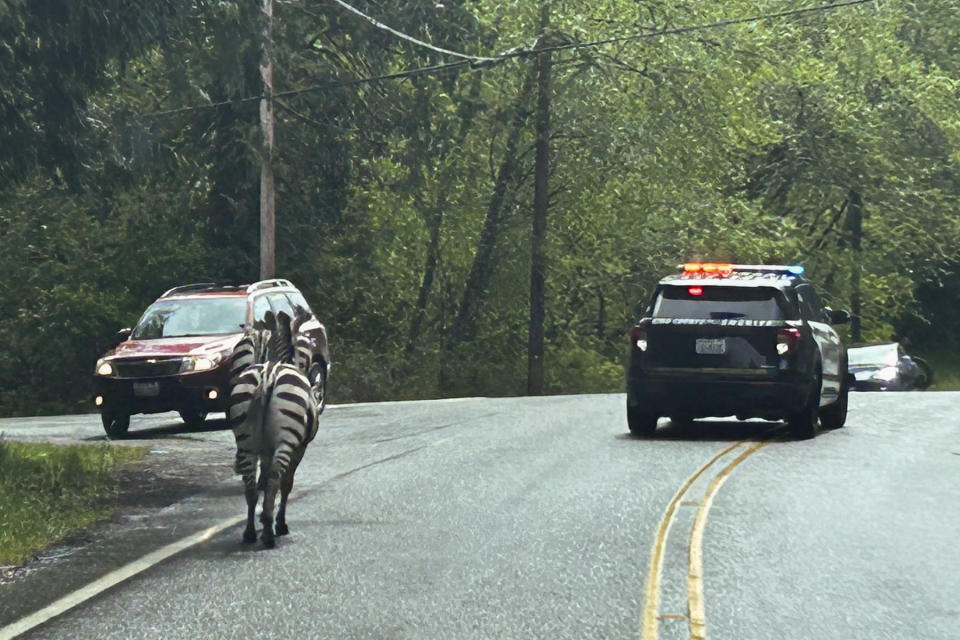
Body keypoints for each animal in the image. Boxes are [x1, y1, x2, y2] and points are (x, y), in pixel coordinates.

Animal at [227, 312, 320, 548]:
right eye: (306, 347)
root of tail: (267, 376)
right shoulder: (300, 447)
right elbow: (286, 484)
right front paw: (280, 524)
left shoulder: (265, 449)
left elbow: (264, 475)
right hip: (287, 440)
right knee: (275, 481)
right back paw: (269, 533)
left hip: (246, 441)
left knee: (250, 486)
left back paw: (250, 532)